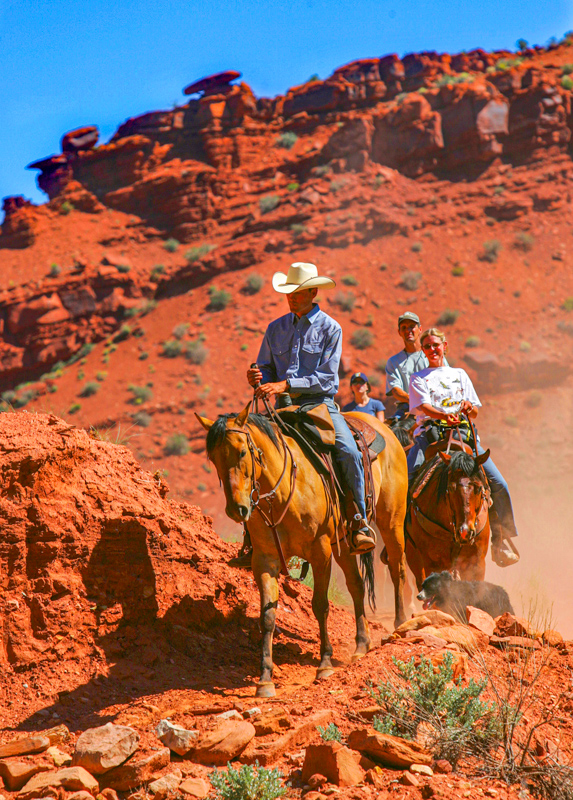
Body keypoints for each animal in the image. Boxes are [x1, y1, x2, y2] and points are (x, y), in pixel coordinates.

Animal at [197, 402, 408, 698]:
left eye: (241, 452)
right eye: (214, 458)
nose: (237, 510)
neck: (282, 493)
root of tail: (385, 429)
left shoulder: (320, 552)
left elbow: (320, 605)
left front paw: (325, 665)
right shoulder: (264, 560)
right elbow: (267, 615)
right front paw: (265, 679)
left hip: (392, 522)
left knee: (398, 569)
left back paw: (399, 626)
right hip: (343, 544)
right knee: (356, 585)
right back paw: (361, 646)